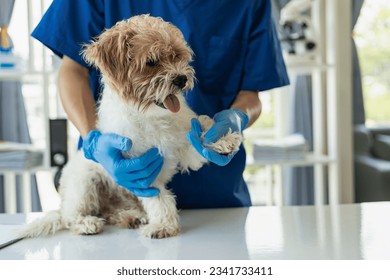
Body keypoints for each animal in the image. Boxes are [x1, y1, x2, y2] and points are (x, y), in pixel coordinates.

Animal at [20, 14, 244, 240]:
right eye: (151, 61)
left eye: (176, 56)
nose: (182, 79)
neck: (150, 116)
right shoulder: (141, 172)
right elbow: (158, 199)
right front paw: (164, 226)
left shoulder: (184, 147)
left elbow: (200, 138)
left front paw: (223, 140)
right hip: (83, 183)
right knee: (70, 216)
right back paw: (87, 223)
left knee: (112, 212)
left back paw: (132, 216)